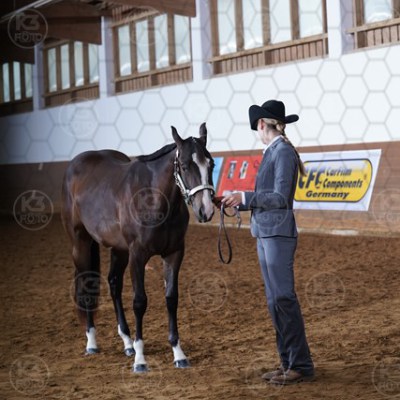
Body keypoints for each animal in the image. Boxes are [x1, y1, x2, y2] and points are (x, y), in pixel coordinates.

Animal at [61, 123, 215, 372]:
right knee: (85, 284)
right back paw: (92, 343)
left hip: (119, 250)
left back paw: (127, 342)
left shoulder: (174, 254)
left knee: (114, 284)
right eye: (184, 166)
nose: (206, 210)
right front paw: (140, 360)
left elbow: (171, 299)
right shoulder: (138, 255)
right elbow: (140, 302)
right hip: (81, 242)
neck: (154, 197)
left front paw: (178, 353)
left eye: (210, 164)